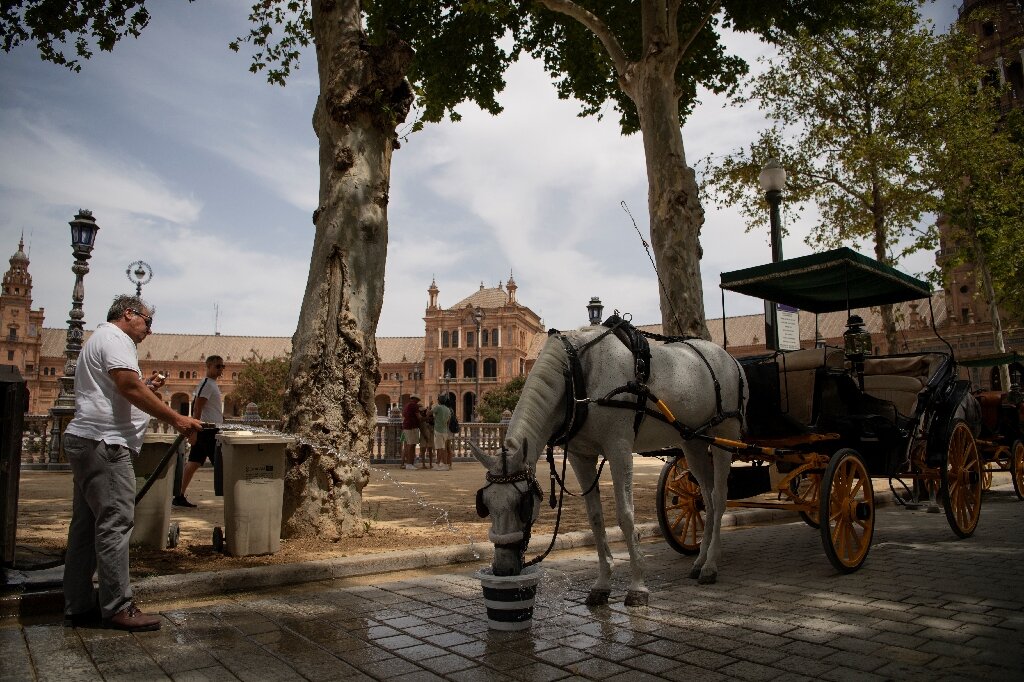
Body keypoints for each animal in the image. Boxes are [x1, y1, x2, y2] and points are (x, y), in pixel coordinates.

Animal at [468, 323, 745, 606]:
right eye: (485, 504)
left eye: (523, 505)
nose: (503, 568)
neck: (576, 376)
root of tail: (730, 358)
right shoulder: (580, 456)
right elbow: (595, 518)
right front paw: (602, 584)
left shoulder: (619, 448)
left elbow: (625, 514)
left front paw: (638, 586)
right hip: (693, 441)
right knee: (705, 498)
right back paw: (700, 561)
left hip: (724, 433)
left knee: (719, 497)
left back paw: (710, 565)